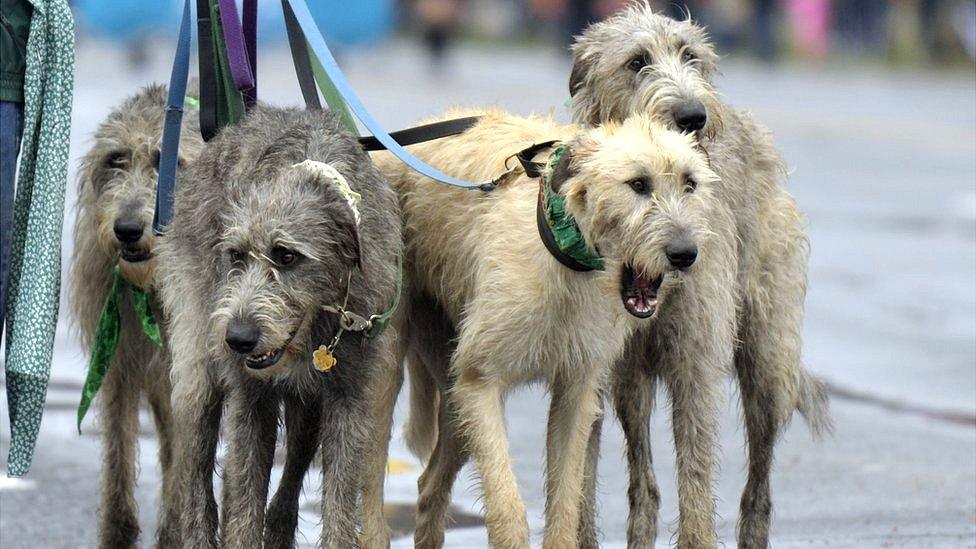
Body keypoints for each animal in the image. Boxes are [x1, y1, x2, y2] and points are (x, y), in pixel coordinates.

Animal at [72, 82, 204, 548]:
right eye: (116, 159)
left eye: (170, 162)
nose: (127, 230)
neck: (153, 286)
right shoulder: (115, 360)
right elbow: (118, 447)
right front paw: (118, 532)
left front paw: (175, 532)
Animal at [158, 107, 402, 548]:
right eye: (235, 255)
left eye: (286, 256)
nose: (237, 339)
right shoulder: (250, 397)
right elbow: (244, 498)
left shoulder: (350, 395)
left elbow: (339, 498)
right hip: (197, 359)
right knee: (197, 460)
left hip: (308, 407)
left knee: (294, 466)